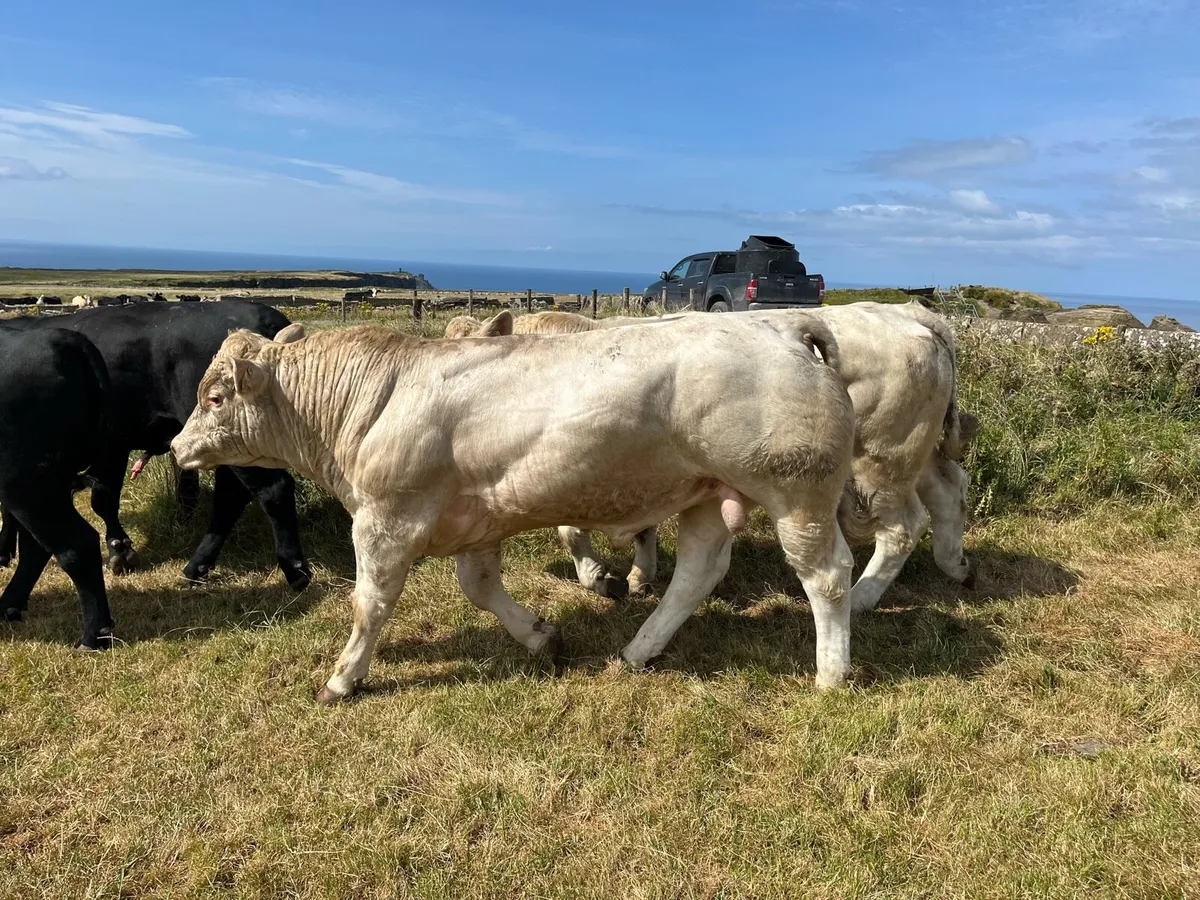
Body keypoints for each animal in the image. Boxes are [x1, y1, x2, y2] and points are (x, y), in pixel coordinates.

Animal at [0, 301, 311, 596]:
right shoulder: (114, 446)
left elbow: (101, 500)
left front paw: (120, 550)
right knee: (230, 497)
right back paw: (196, 567)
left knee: (273, 489)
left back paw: (295, 569)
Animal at [170, 314, 860, 701]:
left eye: (214, 397)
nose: (177, 447)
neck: (373, 397)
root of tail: (784, 327)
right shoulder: (474, 519)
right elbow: (479, 587)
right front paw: (540, 636)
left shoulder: (385, 520)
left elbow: (370, 604)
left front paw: (343, 677)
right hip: (708, 494)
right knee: (697, 572)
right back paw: (638, 650)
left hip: (796, 491)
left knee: (827, 576)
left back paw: (830, 675)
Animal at [450, 303, 978, 612]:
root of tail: (911, 312)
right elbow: (635, 529)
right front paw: (638, 575)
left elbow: (572, 531)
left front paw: (603, 578)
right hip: (917, 452)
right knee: (949, 491)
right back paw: (955, 566)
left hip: (882, 460)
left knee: (903, 527)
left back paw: (864, 597)